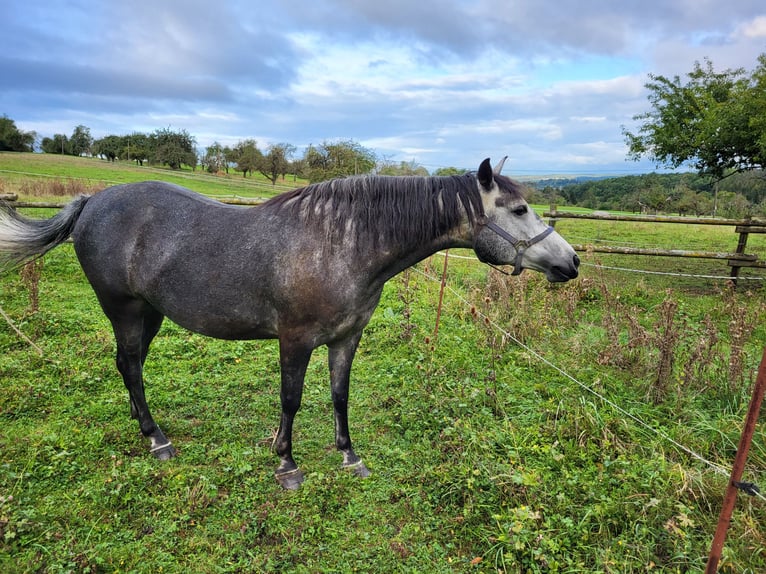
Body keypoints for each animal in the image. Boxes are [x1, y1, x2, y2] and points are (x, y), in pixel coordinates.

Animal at [0, 158, 580, 490]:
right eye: (520, 209)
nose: (570, 263)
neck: (343, 243)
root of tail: (92, 202)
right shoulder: (295, 340)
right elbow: (292, 400)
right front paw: (286, 464)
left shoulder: (347, 337)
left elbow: (340, 394)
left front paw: (349, 457)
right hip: (123, 309)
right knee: (130, 366)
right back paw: (157, 438)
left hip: (150, 312)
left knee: (131, 365)